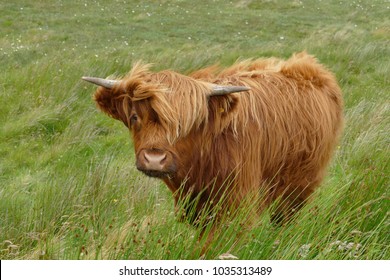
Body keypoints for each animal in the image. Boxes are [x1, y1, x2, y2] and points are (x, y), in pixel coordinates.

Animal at [81, 50, 342, 234]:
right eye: (135, 117)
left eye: (187, 123)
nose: (154, 159)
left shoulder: (237, 203)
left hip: (299, 184)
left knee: (284, 219)